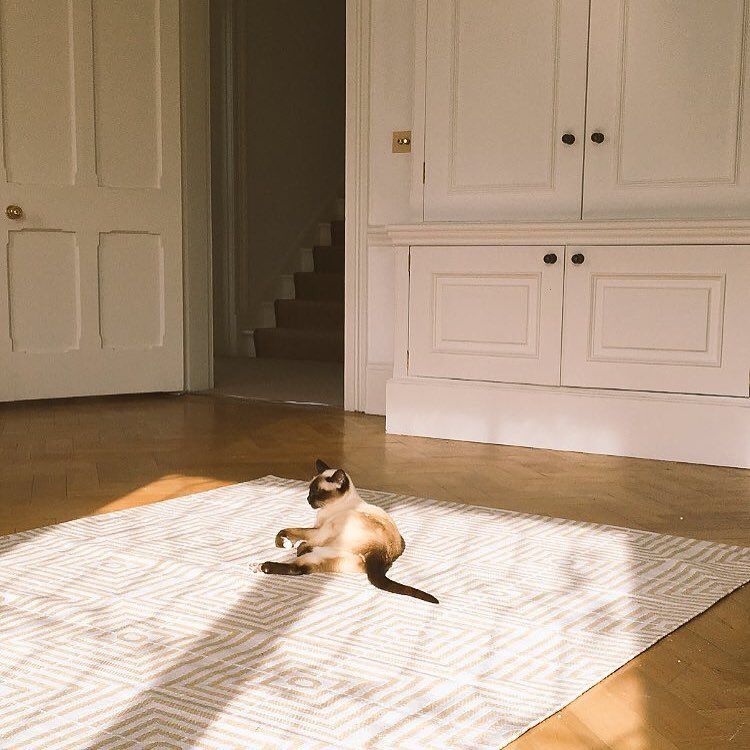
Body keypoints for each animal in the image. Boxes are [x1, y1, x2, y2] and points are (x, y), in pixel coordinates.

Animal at [253, 462, 440, 608]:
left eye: (317, 492)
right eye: (309, 490)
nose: (307, 499)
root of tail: (383, 552)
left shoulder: (319, 531)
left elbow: (290, 533)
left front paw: (291, 544)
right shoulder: (316, 530)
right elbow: (285, 533)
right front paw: (287, 544)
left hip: (331, 539)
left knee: (299, 564)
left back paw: (263, 565)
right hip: (330, 557)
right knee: (302, 568)